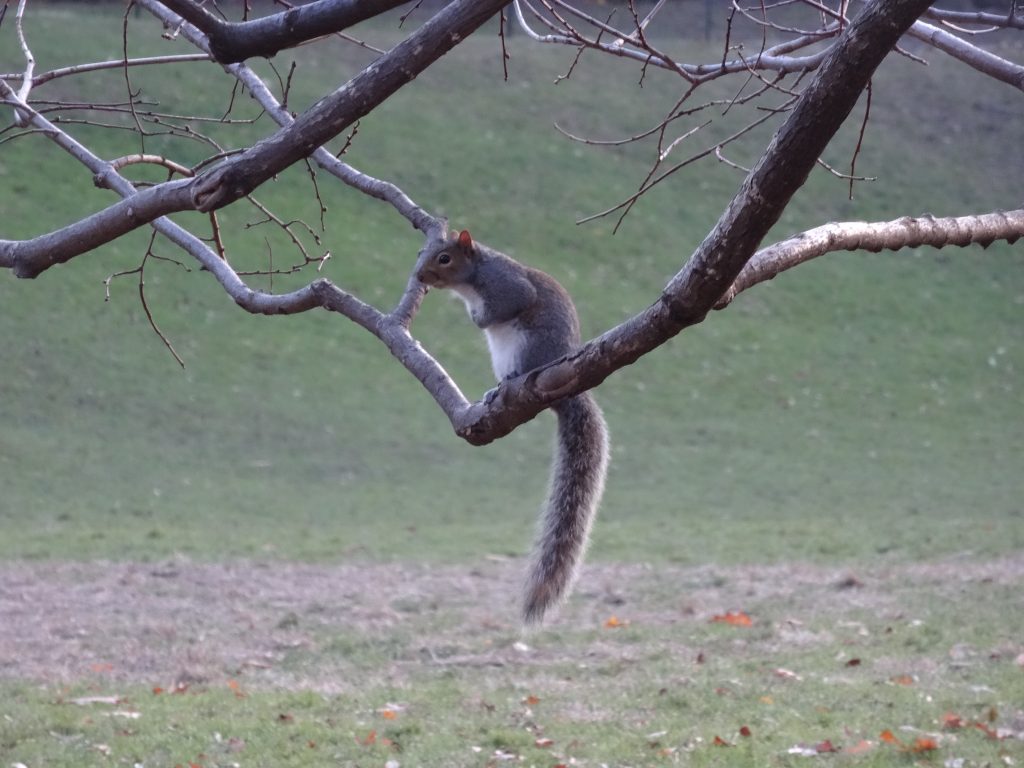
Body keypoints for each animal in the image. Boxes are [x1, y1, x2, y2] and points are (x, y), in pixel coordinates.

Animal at [415, 228, 610, 625]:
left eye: (444, 258)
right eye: (423, 252)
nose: (419, 277)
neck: (473, 280)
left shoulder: (507, 287)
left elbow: (508, 305)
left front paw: (478, 317)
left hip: (528, 347)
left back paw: (515, 380)